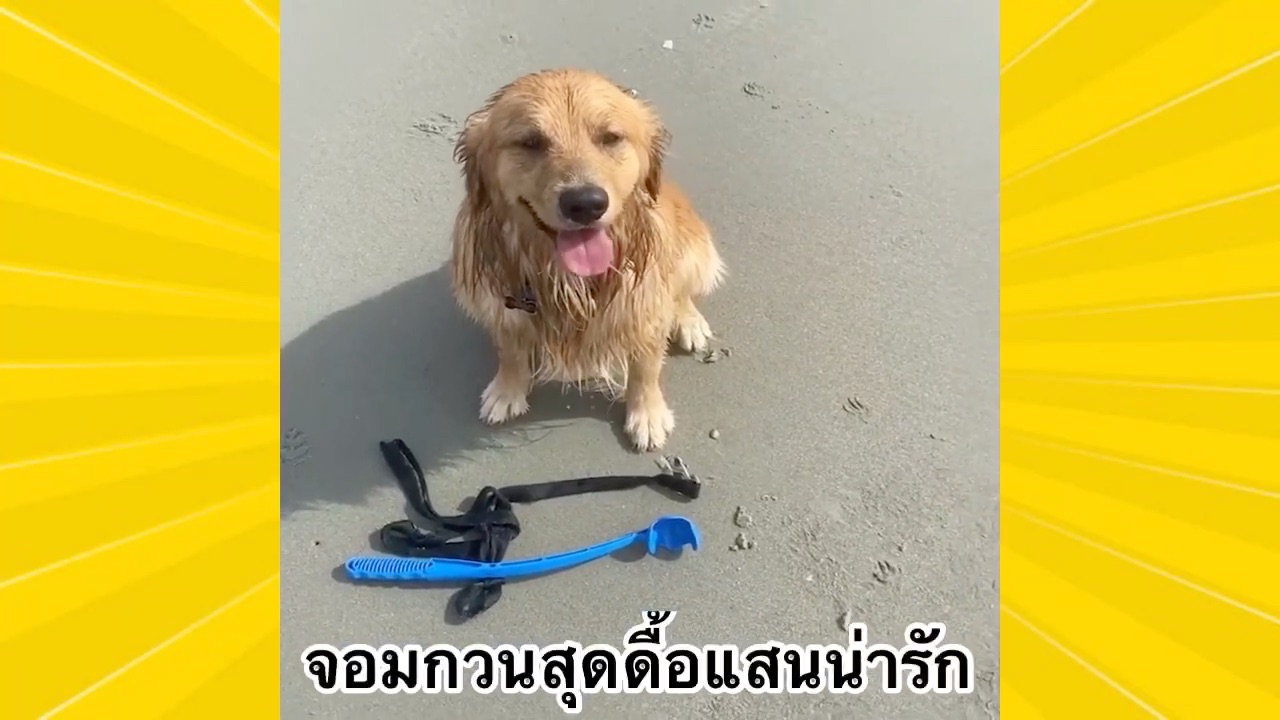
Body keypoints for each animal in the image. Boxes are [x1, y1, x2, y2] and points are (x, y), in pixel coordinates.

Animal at [448, 68, 725, 451]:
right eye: (530, 141)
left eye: (610, 138)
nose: (585, 203)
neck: (567, 280)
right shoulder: (503, 306)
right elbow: (510, 351)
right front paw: (507, 390)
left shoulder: (645, 309)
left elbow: (646, 367)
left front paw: (648, 414)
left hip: (696, 250)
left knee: (682, 291)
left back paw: (689, 322)